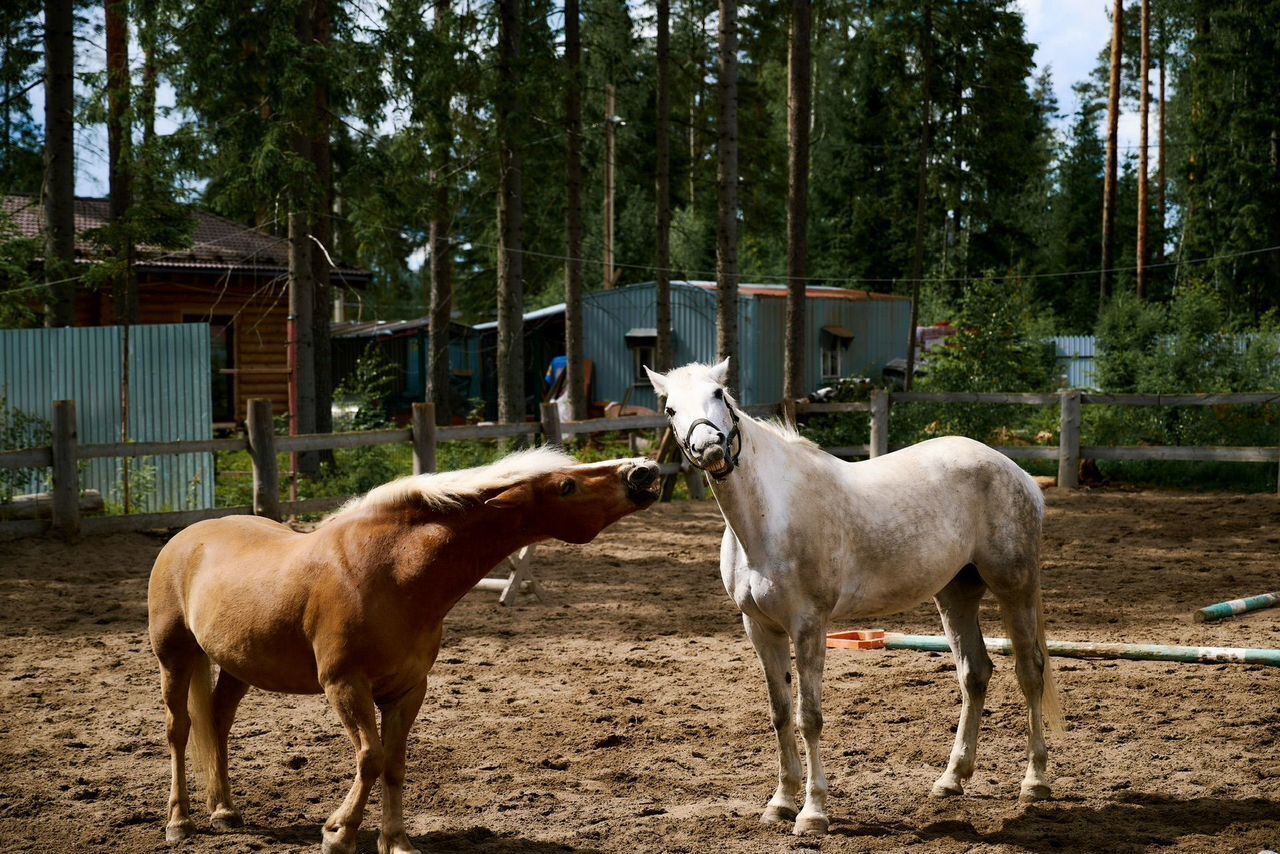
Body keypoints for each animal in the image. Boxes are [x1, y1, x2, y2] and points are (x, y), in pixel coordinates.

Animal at [149, 450, 660, 850]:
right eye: (567, 485)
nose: (643, 471)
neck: (392, 572)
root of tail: (185, 538)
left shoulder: (408, 689)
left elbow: (394, 762)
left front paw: (395, 841)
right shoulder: (345, 686)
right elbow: (370, 757)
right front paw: (338, 834)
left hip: (237, 666)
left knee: (217, 723)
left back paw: (224, 811)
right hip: (174, 658)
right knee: (179, 730)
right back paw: (179, 822)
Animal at [645, 358, 1064, 834]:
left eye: (719, 394)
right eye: (671, 409)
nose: (710, 448)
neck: (769, 517)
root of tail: (1017, 473)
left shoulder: (809, 626)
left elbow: (809, 717)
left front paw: (813, 812)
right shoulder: (761, 628)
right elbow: (780, 713)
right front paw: (780, 803)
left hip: (1016, 588)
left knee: (1030, 672)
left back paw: (1034, 782)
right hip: (956, 595)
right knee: (975, 674)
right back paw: (951, 779)